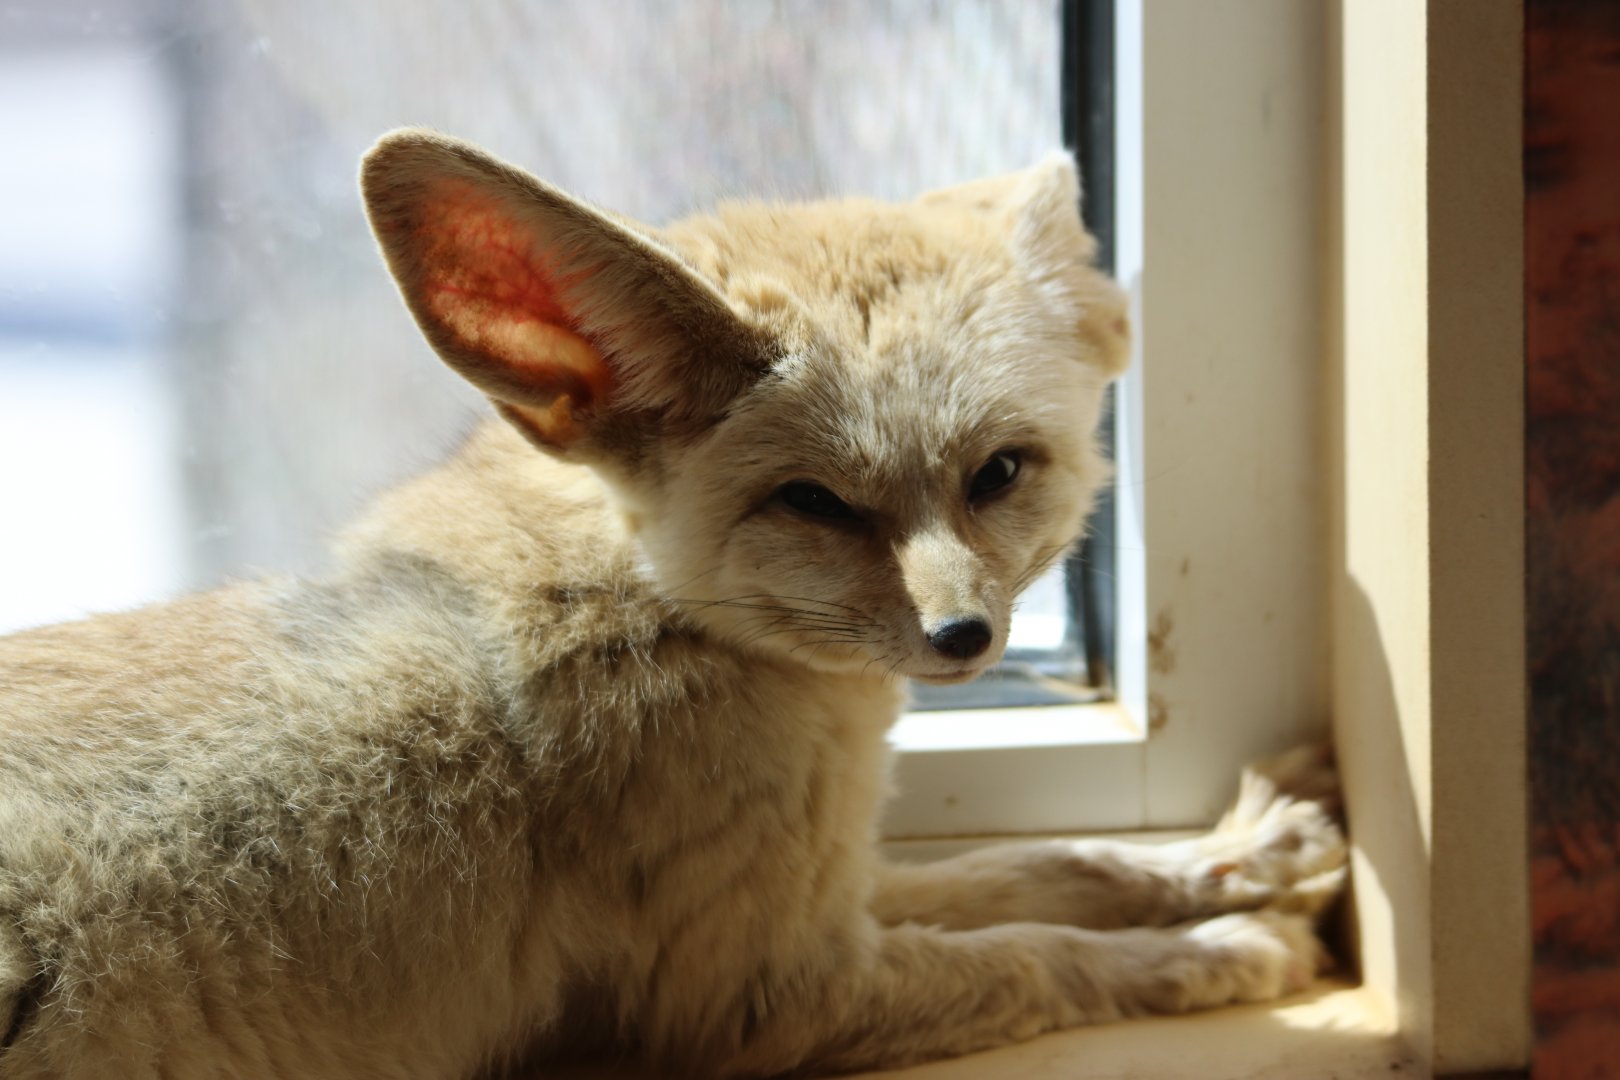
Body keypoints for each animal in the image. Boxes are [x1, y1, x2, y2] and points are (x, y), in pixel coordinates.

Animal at [0, 130, 1345, 1079]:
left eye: (1000, 474)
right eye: (815, 504)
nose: (963, 638)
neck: (640, 592)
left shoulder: (828, 889)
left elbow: (1038, 865)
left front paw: (1235, 860)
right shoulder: (771, 993)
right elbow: (1037, 956)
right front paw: (1221, 951)